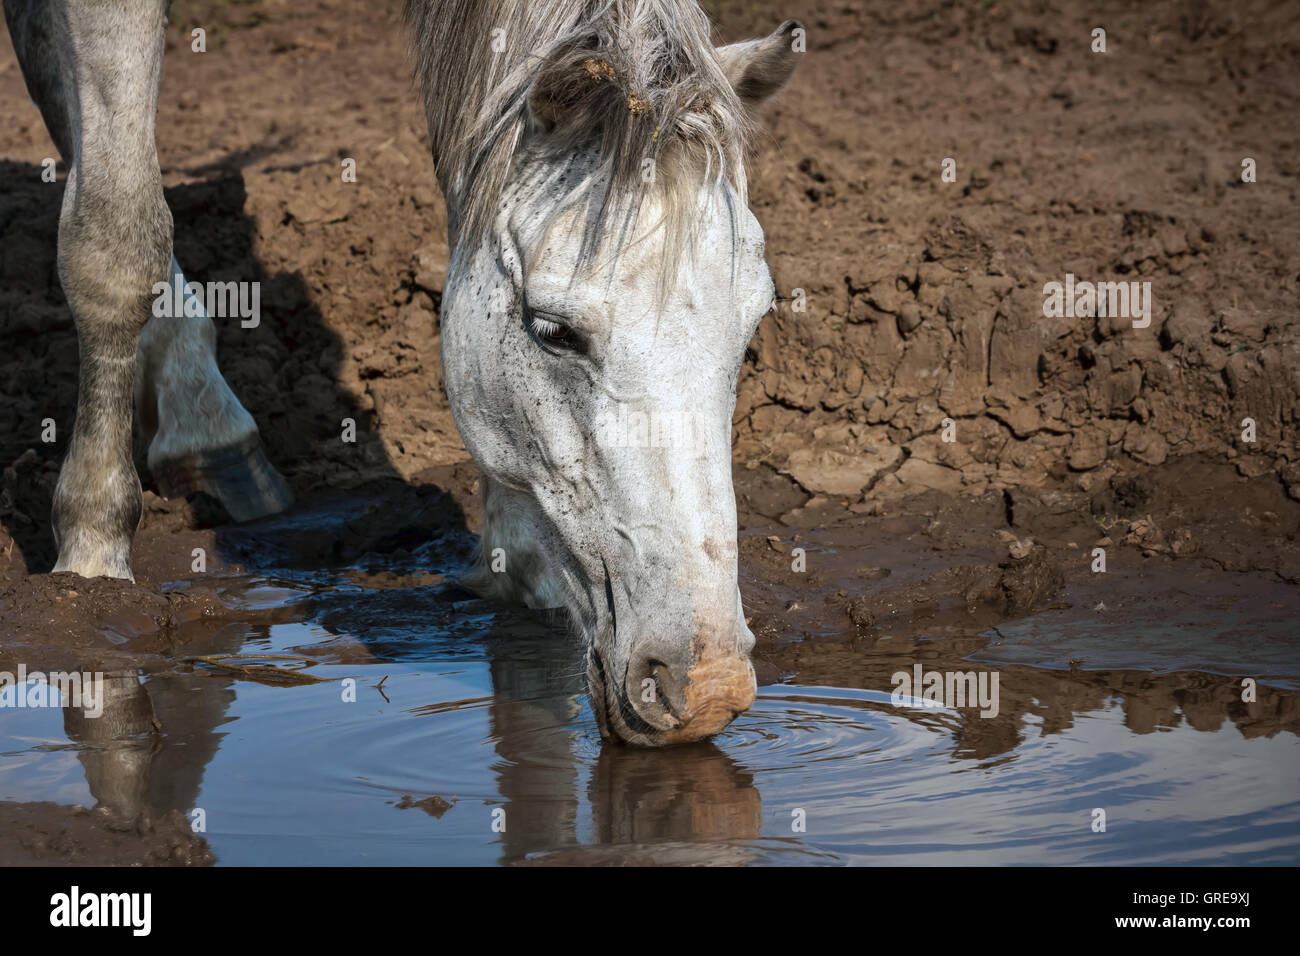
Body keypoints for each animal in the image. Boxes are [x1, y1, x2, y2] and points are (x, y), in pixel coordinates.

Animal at [2, 0, 802, 746]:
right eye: (553, 330)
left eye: (752, 324)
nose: (706, 688)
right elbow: (114, 238)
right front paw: (93, 552)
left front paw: (513, 556)